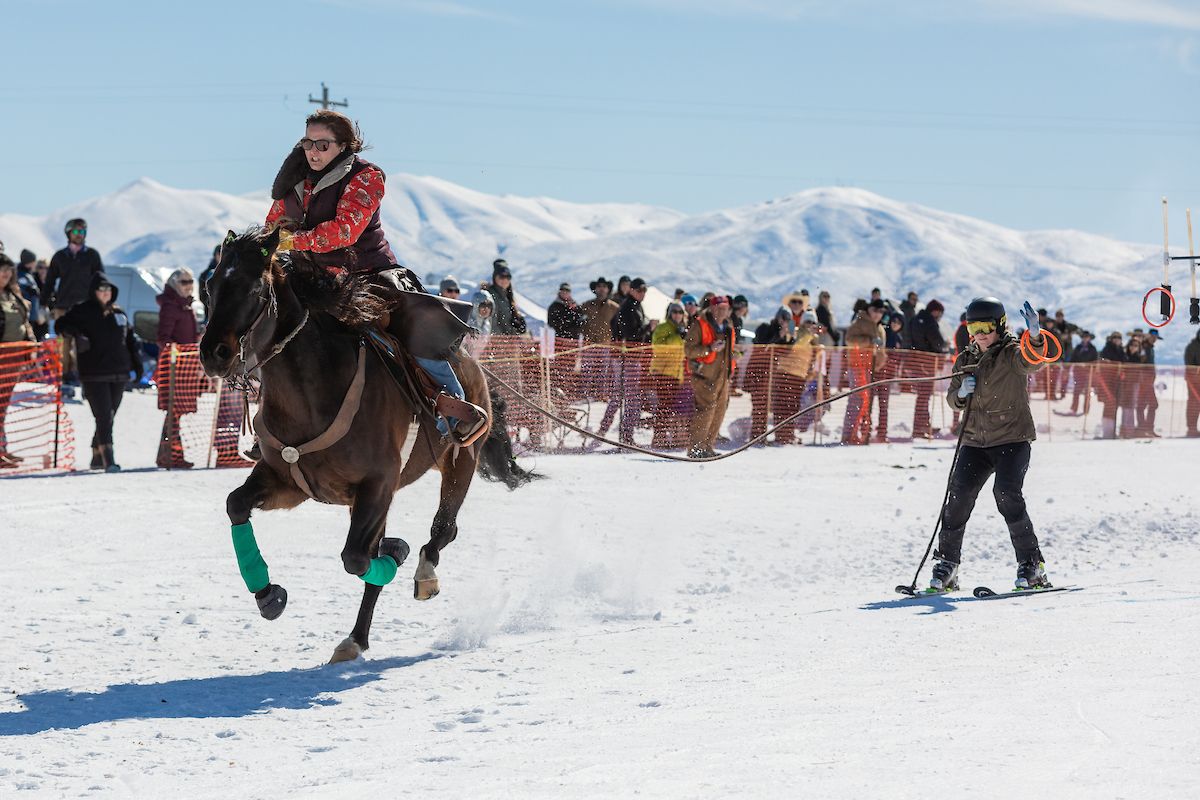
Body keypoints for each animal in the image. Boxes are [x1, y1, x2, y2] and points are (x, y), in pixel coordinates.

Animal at [199, 230, 489, 662]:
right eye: (210, 286)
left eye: (254, 289)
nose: (212, 353)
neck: (314, 392)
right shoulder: (289, 483)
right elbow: (236, 505)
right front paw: (268, 594)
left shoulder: (378, 484)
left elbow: (355, 558)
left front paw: (398, 555)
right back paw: (357, 633)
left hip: (461, 460)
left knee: (443, 528)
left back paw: (419, 575)